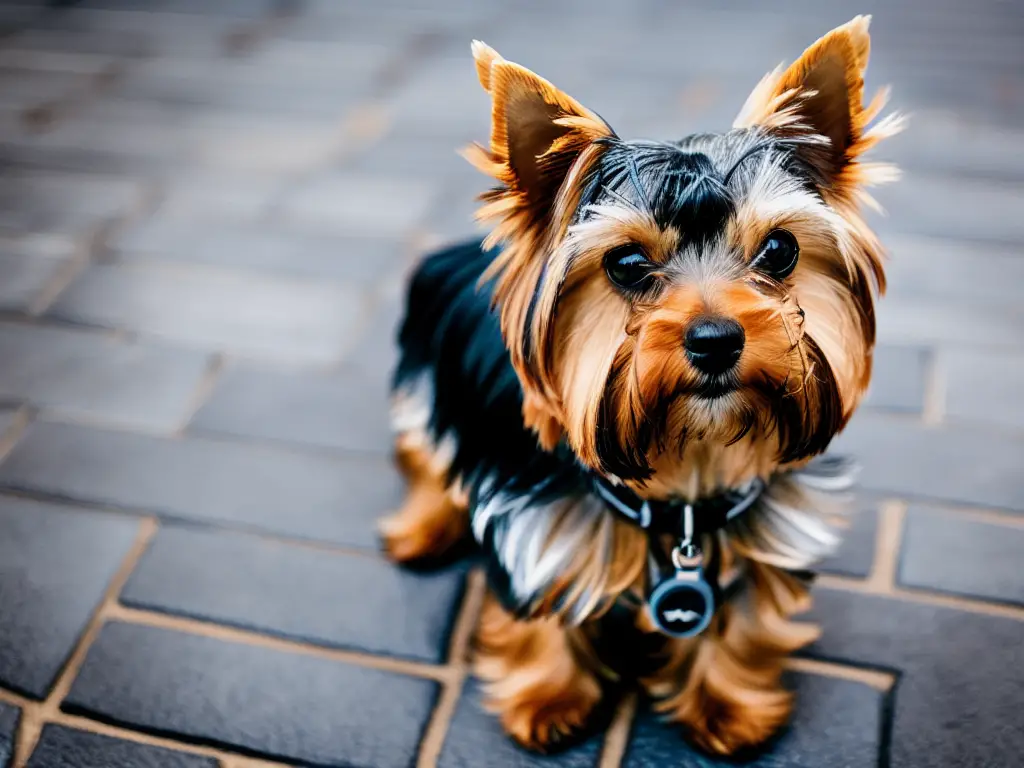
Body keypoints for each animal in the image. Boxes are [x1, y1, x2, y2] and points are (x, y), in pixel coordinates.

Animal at [380, 15, 901, 753]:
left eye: (780, 250)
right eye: (626, 263)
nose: (716, 339)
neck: (682, 485)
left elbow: (738, 622)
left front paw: (730, 707)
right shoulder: (536, 527)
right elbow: (540, 610)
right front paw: (547, 700)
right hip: (427, 384)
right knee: (424, 455)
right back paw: (421, 530)